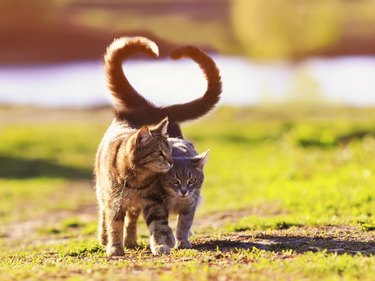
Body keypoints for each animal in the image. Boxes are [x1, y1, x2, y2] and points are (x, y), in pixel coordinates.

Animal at [95, 35, 222, 254]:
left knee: (132, 219)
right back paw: (105, 238)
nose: (170, 162)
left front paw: (163, 243)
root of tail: (148, 108)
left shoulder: (154, 202)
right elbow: (114, 225)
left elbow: (161, 225)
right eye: (161, 153)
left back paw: (132, 240)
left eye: (170, 151)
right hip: (102, 191)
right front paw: (115, 248)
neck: (136, 179)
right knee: (104, 213)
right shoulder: (115, 202)